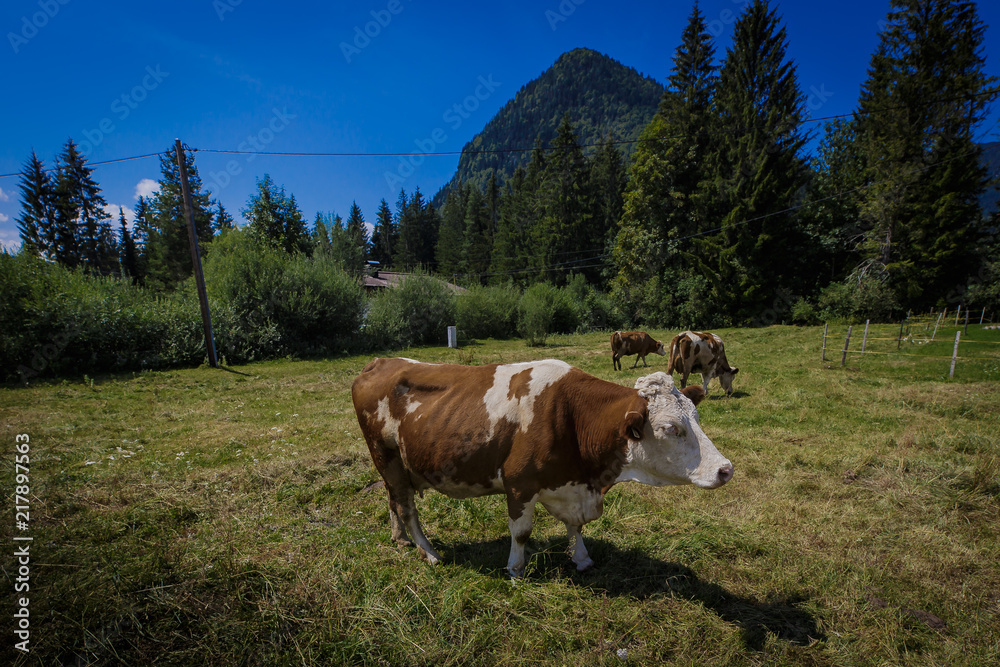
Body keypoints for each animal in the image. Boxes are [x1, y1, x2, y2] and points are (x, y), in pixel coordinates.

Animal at [352, 360, 736, 580]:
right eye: (671, 427)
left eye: (696, 416)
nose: (726, 469)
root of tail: (380, 362)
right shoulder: (519, 483)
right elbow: (521, 532)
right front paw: (516, 569)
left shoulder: (570, 484)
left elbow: (575, 526)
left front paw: (582, 558)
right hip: (386, 455)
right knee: (406, 506)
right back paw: (428, 552)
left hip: (396, 466)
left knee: (393, 500)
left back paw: (400, 538)